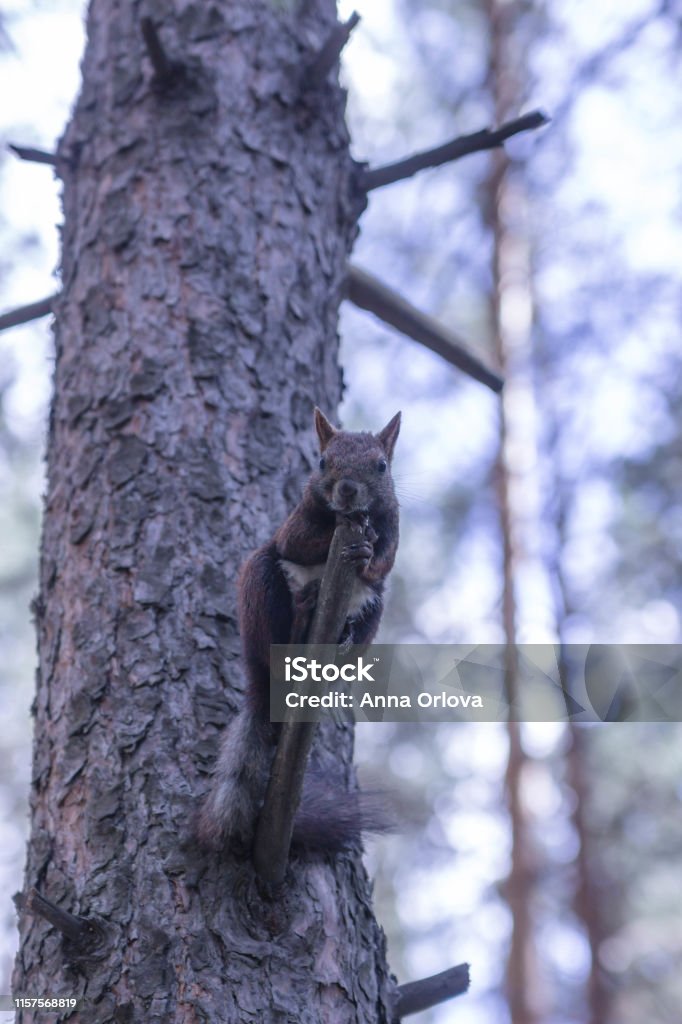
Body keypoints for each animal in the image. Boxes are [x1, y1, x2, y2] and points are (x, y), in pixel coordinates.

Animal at [196, 407, 399, 856]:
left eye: (382, 465)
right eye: (322, 461)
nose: (347, 491)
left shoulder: (393, 527)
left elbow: (382, 564)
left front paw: (367, 550)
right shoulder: (296, 523)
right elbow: (299, 542)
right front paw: (340, 528)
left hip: (372, 611)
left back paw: (340, 642)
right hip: (260, 586)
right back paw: (302, 618)